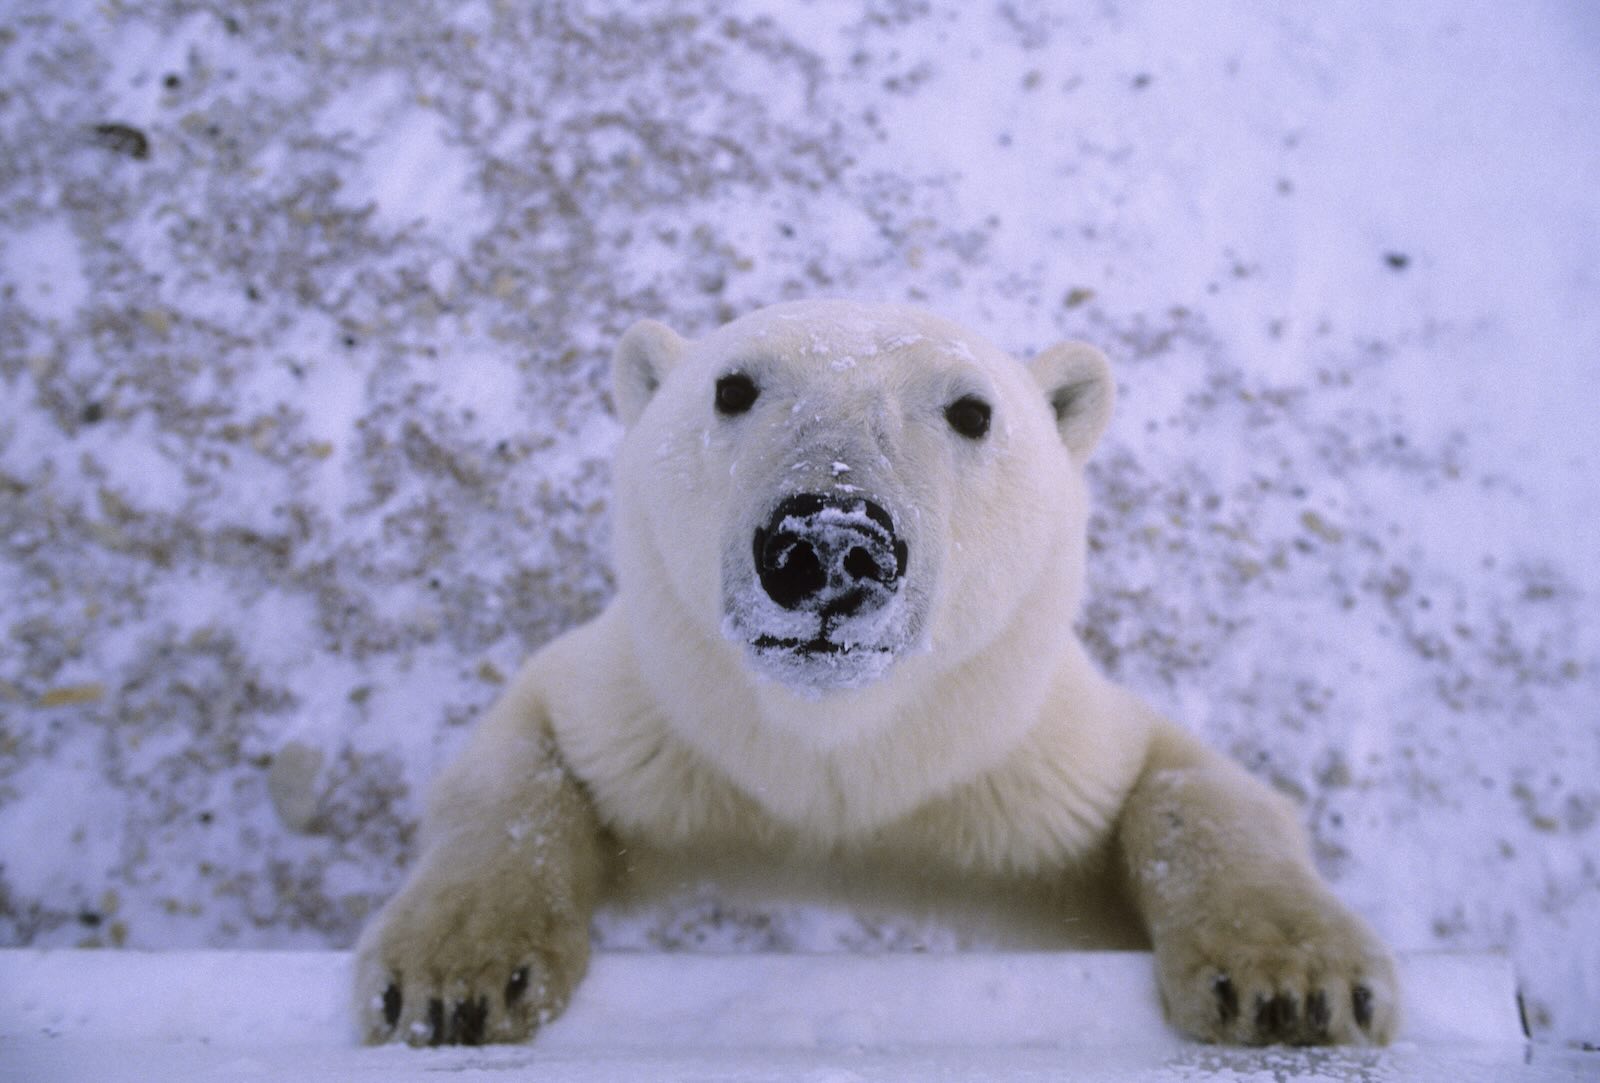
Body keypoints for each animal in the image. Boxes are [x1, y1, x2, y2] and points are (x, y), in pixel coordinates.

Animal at [352, 299, 1398, 1048]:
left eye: (973, 409)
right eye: (732, 387)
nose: (827, 543)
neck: (840, 749)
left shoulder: (1014, 760)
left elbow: (1185, 785)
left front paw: (1292, 984)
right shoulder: (661, 723)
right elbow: (522, 765)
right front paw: (455, 977)